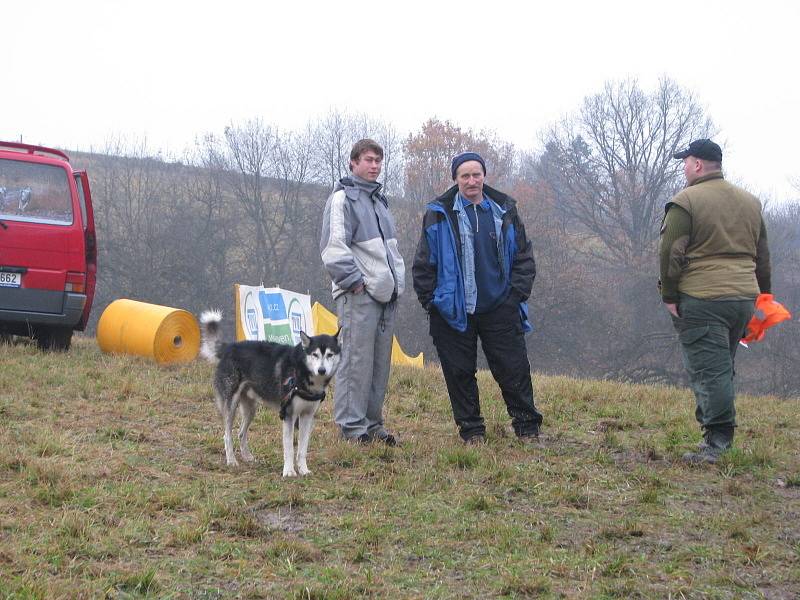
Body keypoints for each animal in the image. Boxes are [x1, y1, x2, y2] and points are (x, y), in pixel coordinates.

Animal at [200, 312, 340, 476]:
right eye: (315, 355)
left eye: (330, 354)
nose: (322, 370)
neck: (301, 371)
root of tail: (229, 347)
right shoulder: (289, 415)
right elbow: (289, 449)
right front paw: (289, 472)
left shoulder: (307, 416)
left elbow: (302, 449)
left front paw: (303, 470)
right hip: (231, 406)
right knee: (227, 435)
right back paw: (232, 461)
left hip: (250, 409)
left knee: (241, 433)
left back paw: (247, 456)